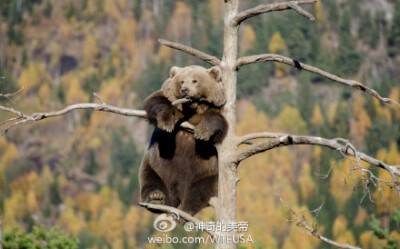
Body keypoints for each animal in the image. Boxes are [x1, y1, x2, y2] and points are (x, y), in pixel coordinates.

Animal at [140, 65, 228, 215]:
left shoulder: (214, 108)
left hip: (209, 173)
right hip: (155, 166)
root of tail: (177, 195)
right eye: (181, 81)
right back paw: (156, 198)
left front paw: (202, 133)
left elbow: (216, 120)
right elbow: (156, 101)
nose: (185, 90)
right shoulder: (169, 99)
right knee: (151, 181)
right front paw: (166, 122)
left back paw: (185, 210)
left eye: (195, 80)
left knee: (200, 191)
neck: (192, 108)